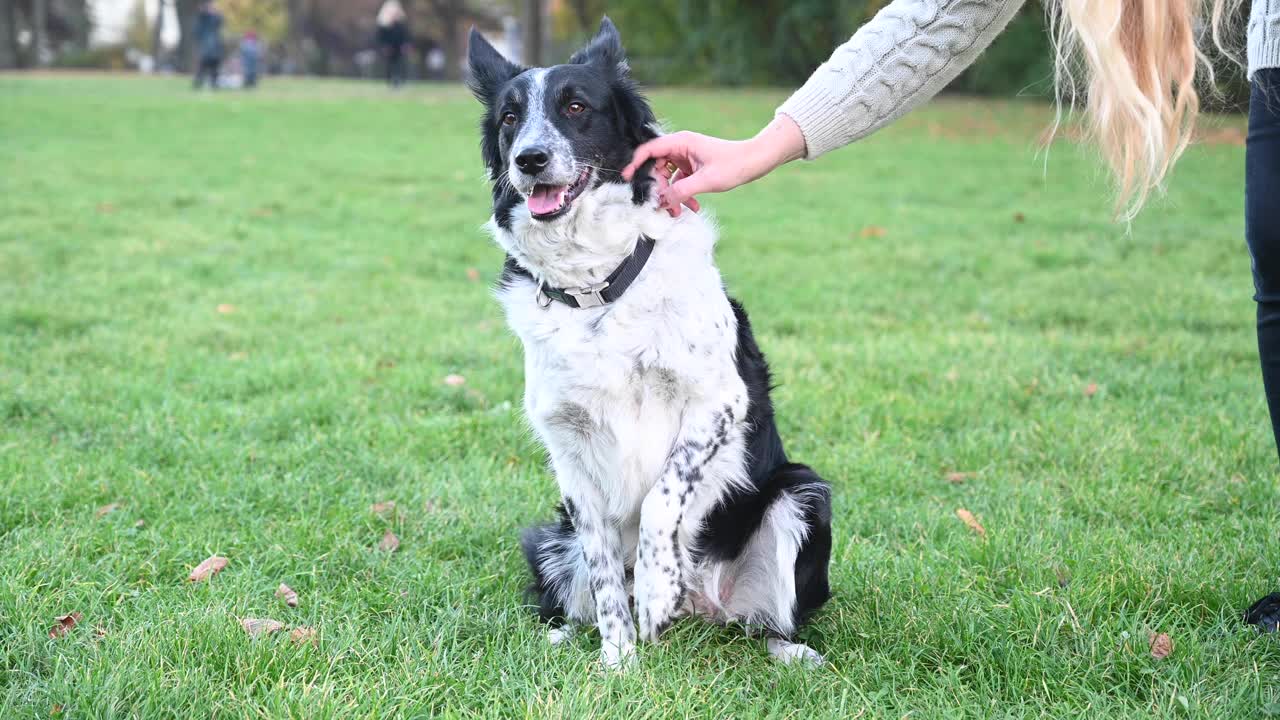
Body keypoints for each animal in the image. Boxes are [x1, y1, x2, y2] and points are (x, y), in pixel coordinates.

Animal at [465, 18, 834, 666]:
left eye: (577, 107)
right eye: (510, 117)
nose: (529, 159)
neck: (599, 290)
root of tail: (703, 609)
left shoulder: (719, 404)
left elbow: (665, 494)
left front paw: (659, 587)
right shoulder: (568, 448)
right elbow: (606, 573)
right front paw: (618, 663)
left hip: (803, 495)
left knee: (765, 623)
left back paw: (786, 650)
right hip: (551, 537)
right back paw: (568, 634)